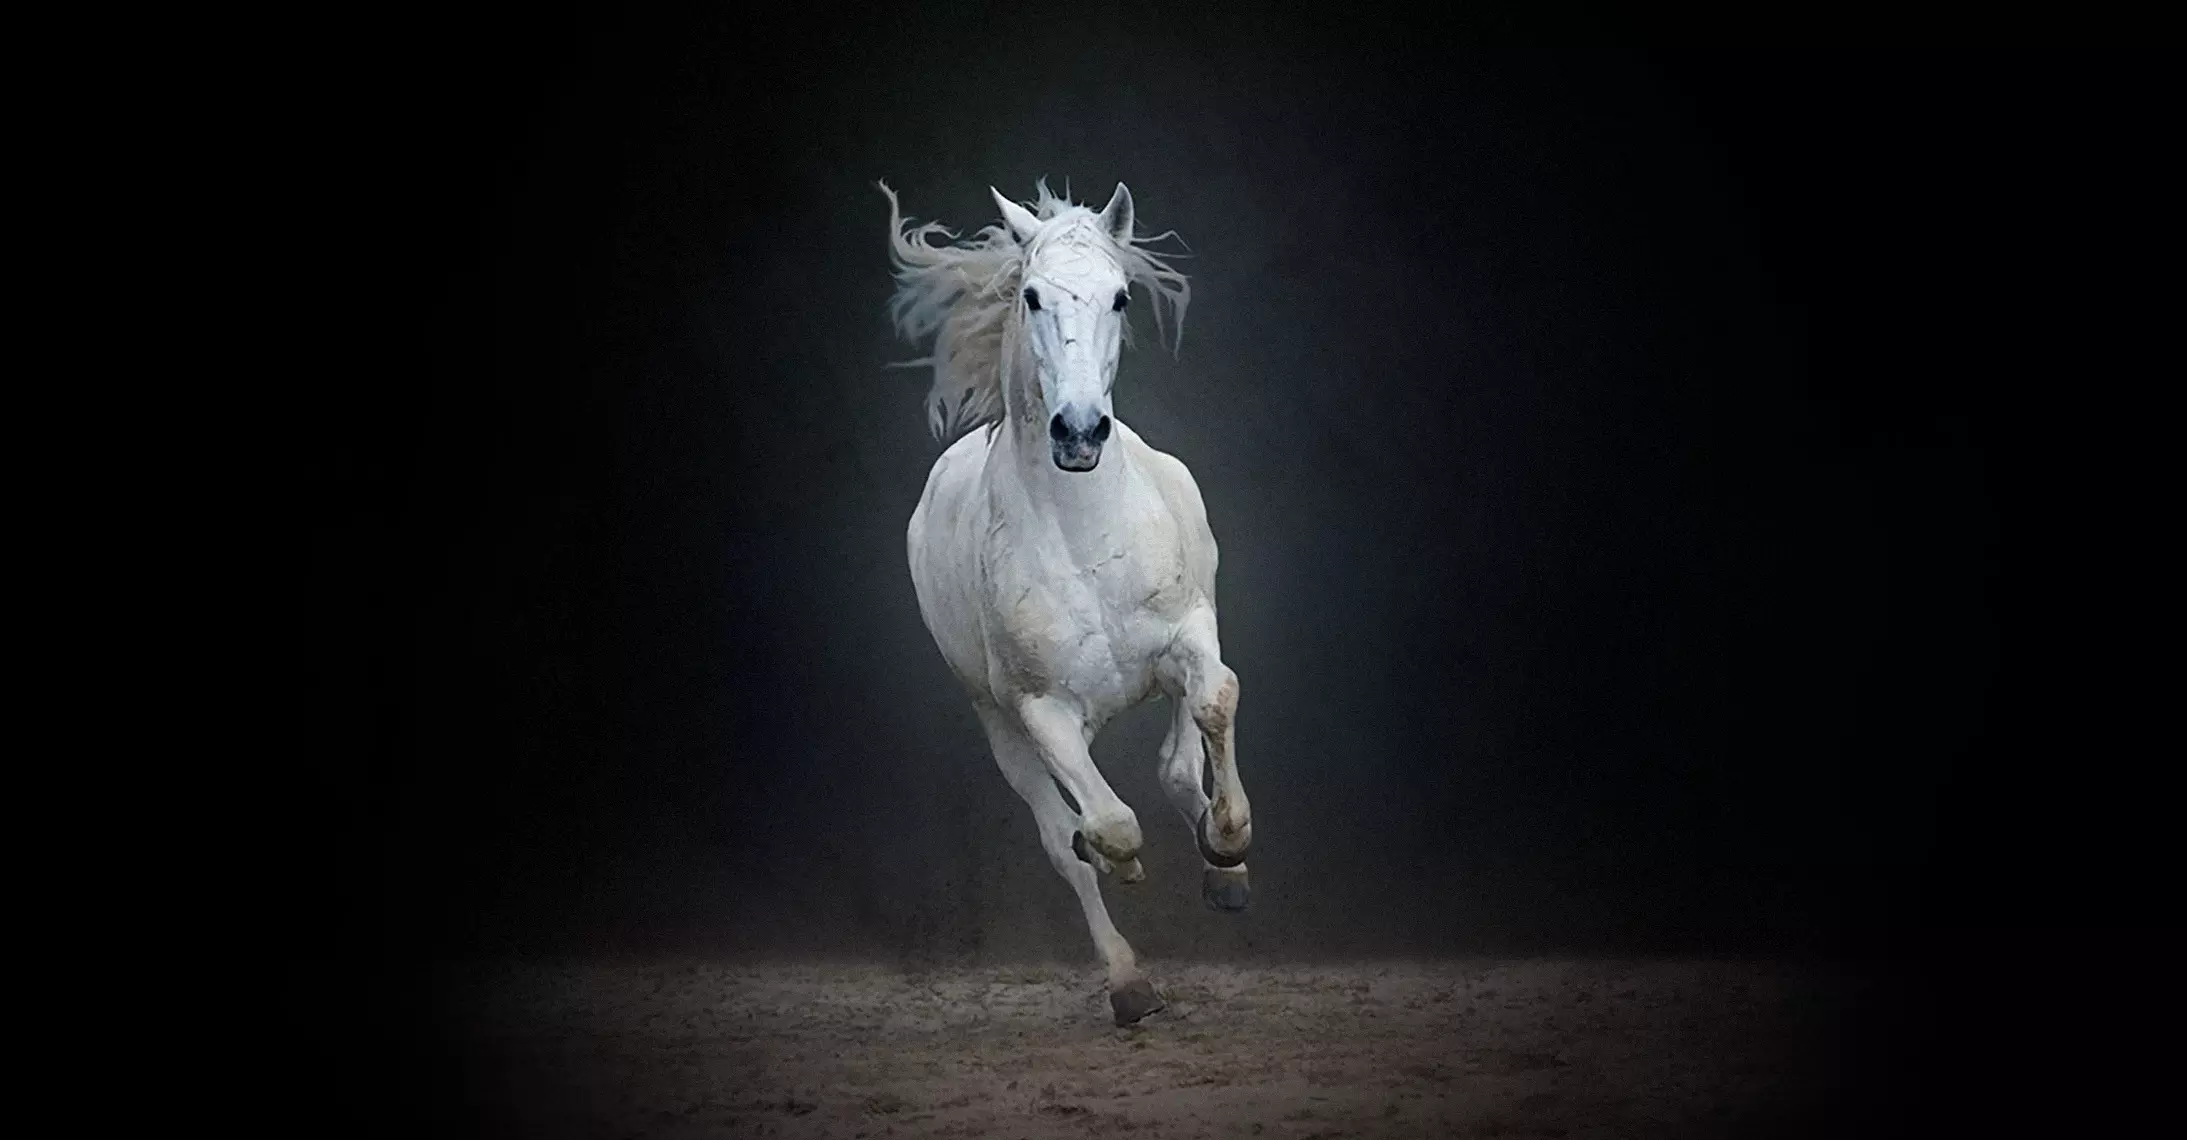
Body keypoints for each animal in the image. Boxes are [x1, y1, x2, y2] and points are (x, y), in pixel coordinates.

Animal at [880, 179, 1254, 1026]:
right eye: (1030, 296)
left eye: (1120, 297)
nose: (1078, 433)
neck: (1085, 535)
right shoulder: (1038, 710)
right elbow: (1105, 827)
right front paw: (1126, 873)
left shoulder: (1189, 633)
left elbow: (1215, 700)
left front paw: (1228, 846)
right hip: (998, 723)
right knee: (1065, 840)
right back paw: (1128, 983)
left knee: (1176, 763)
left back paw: (1221, 873)